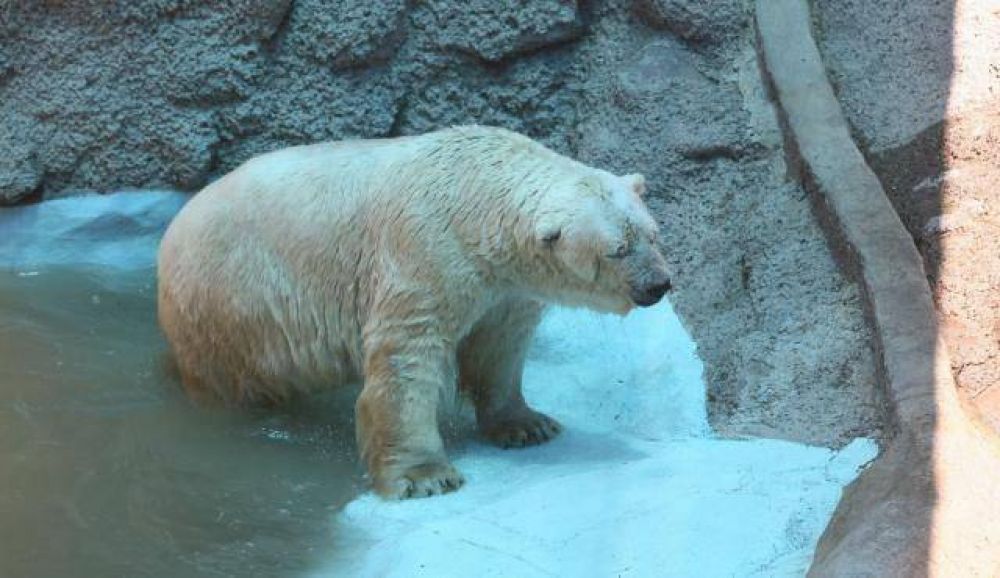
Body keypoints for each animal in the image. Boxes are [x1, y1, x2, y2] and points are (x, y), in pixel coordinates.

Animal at [157, 126, 672, 499]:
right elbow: (408, 359)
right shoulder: (424, 252)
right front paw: (425, 475)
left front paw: (527, 425)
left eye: (652, 233)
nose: (658, 285)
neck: (475, 197)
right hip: (225, 306)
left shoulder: (506, 287)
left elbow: (500, 346)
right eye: (617, 249)